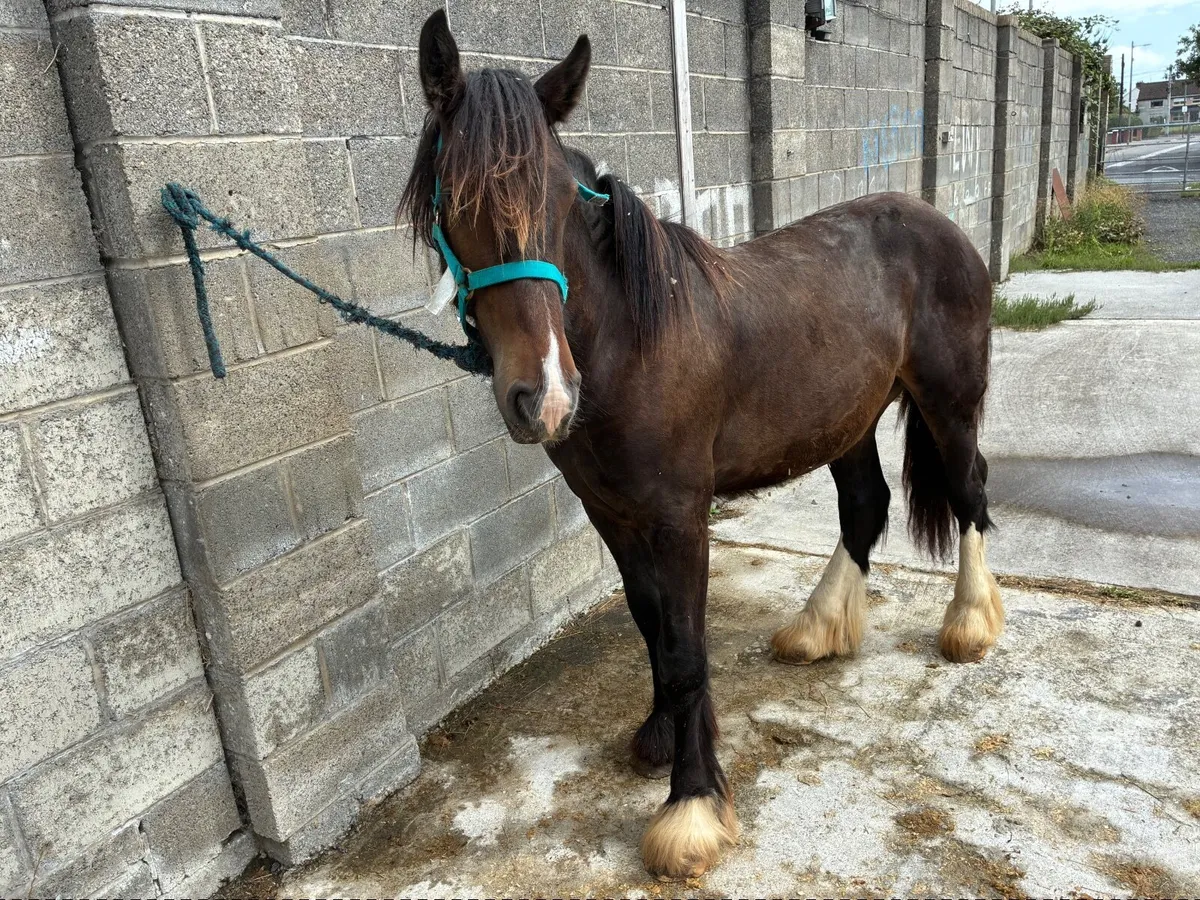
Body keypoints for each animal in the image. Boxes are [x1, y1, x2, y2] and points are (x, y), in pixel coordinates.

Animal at [401, 10, 1002, 879]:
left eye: (561, 201)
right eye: (456, 198)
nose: (545, 396)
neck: (630, 339)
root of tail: (941, 223)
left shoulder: (680, 515)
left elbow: (686, 649)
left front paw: (689, 808)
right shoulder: (613, 514)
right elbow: (652, 625)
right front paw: (659, 739)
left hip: (949, 405)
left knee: (969, 492)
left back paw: (970, 625)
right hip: (846, 420)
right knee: (866, 504)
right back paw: (817, 628)